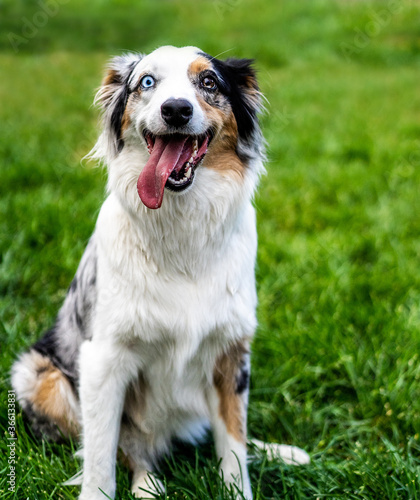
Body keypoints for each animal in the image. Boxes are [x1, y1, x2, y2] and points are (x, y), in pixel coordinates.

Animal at [10, 45, 308, 498]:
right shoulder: (103, 358)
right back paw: (147, 482)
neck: (181, 227)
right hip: (38, 377)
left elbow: (234, 443)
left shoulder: (231, 350)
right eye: (147, 82)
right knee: (130, 448)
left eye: (209, 82)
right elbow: (100, 456)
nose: (176, 109)